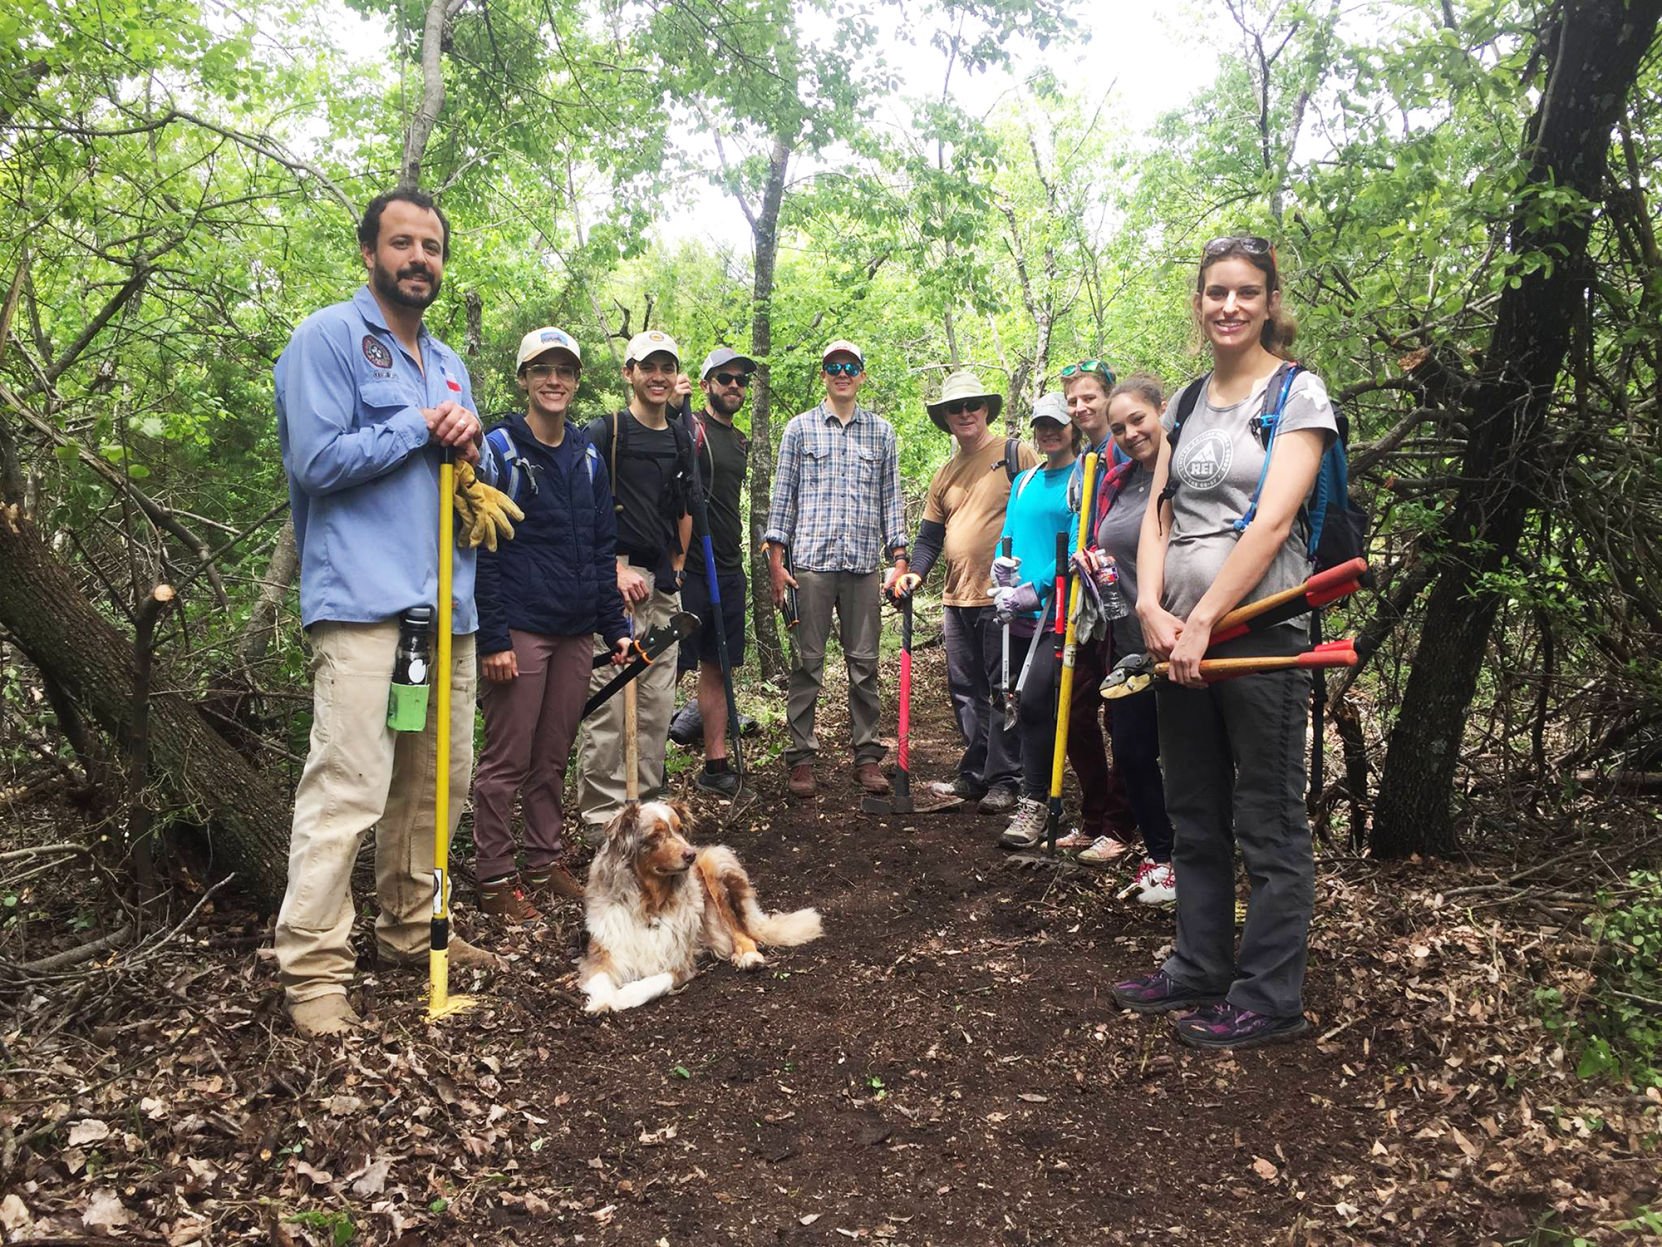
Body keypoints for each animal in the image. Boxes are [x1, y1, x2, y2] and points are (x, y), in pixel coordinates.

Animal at [578, 801, 824, 1017]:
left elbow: (657, 980)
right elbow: (600, 978)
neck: (649, 903)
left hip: (713, 865)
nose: (690, 854)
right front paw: (603, 1002)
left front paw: (625, 995)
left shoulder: (680, 960)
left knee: (741, 932)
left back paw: (748, 957)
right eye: (656, 835)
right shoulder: (602, 952)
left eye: (679, 830)